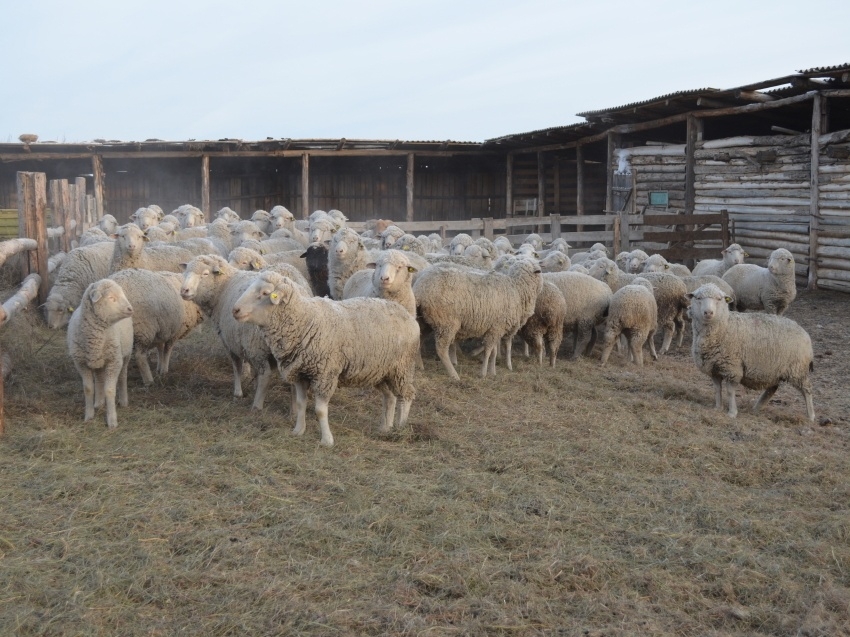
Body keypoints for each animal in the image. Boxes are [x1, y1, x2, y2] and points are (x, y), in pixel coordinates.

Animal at [66, 278, 133, 428]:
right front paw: (89, 415)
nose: (130, 309)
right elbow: (88, 389)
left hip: (125, 354)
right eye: (111, 298)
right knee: (99, 378)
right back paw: (98, 403)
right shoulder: (81, 363)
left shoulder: (114, 361)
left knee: (123, 376)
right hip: (98, 360)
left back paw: (124, 401)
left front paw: (112, 420)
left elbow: (110, 390)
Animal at [232, 270, 420, 444]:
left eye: (265, 293)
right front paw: (298, 430)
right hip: (381, 371)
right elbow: (300, 404)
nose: (235, 310)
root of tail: (408, 315)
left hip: (402, 368)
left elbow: (320, 410)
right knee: (389, 397)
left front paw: (327, 440)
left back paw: (400, 427)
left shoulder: (325, 375)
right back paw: (385, 427)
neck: (304, 322)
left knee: (407, 395)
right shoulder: (300, 374)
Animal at [412, 258, 544, 378]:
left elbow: (494, 352)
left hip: (425, 322)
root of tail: (420, 289)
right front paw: (483, 372)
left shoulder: (494, 329)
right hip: (447, 323)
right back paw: (454, 375)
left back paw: (420, 366)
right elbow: (488, 351)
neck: (517, 290)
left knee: (418, 340)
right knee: (441, 349)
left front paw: (492, 372)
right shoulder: (496, 328)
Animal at [684, 284, 812, 422]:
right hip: (774, 369)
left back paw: (811, 416)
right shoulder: (714, 368)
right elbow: (717, 389)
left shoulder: (732, 368)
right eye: (698, 298)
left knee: (807, 390)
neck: (724, 326)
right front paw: (717, 408)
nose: (708, 312)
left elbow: (730, 391)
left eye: (719, 299)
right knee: (772, 389)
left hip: (798, 369)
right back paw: (757, 407)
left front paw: (732, 412)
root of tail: (805, 333)